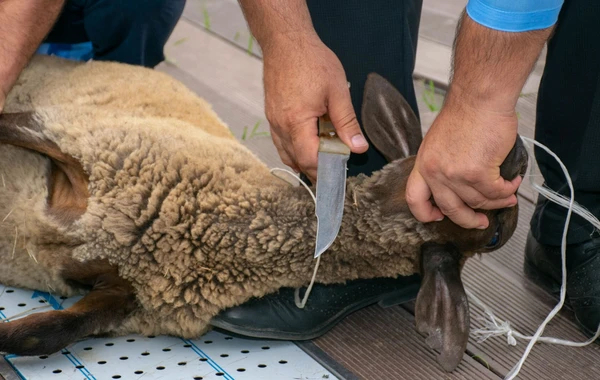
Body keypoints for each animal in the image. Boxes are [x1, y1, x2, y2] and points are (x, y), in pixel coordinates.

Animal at [0, 55, 524, 372]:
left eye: (494, 237)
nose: (517, 154)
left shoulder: (123, 297)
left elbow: (44, 334)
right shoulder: (75, 135)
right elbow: (8, 123)